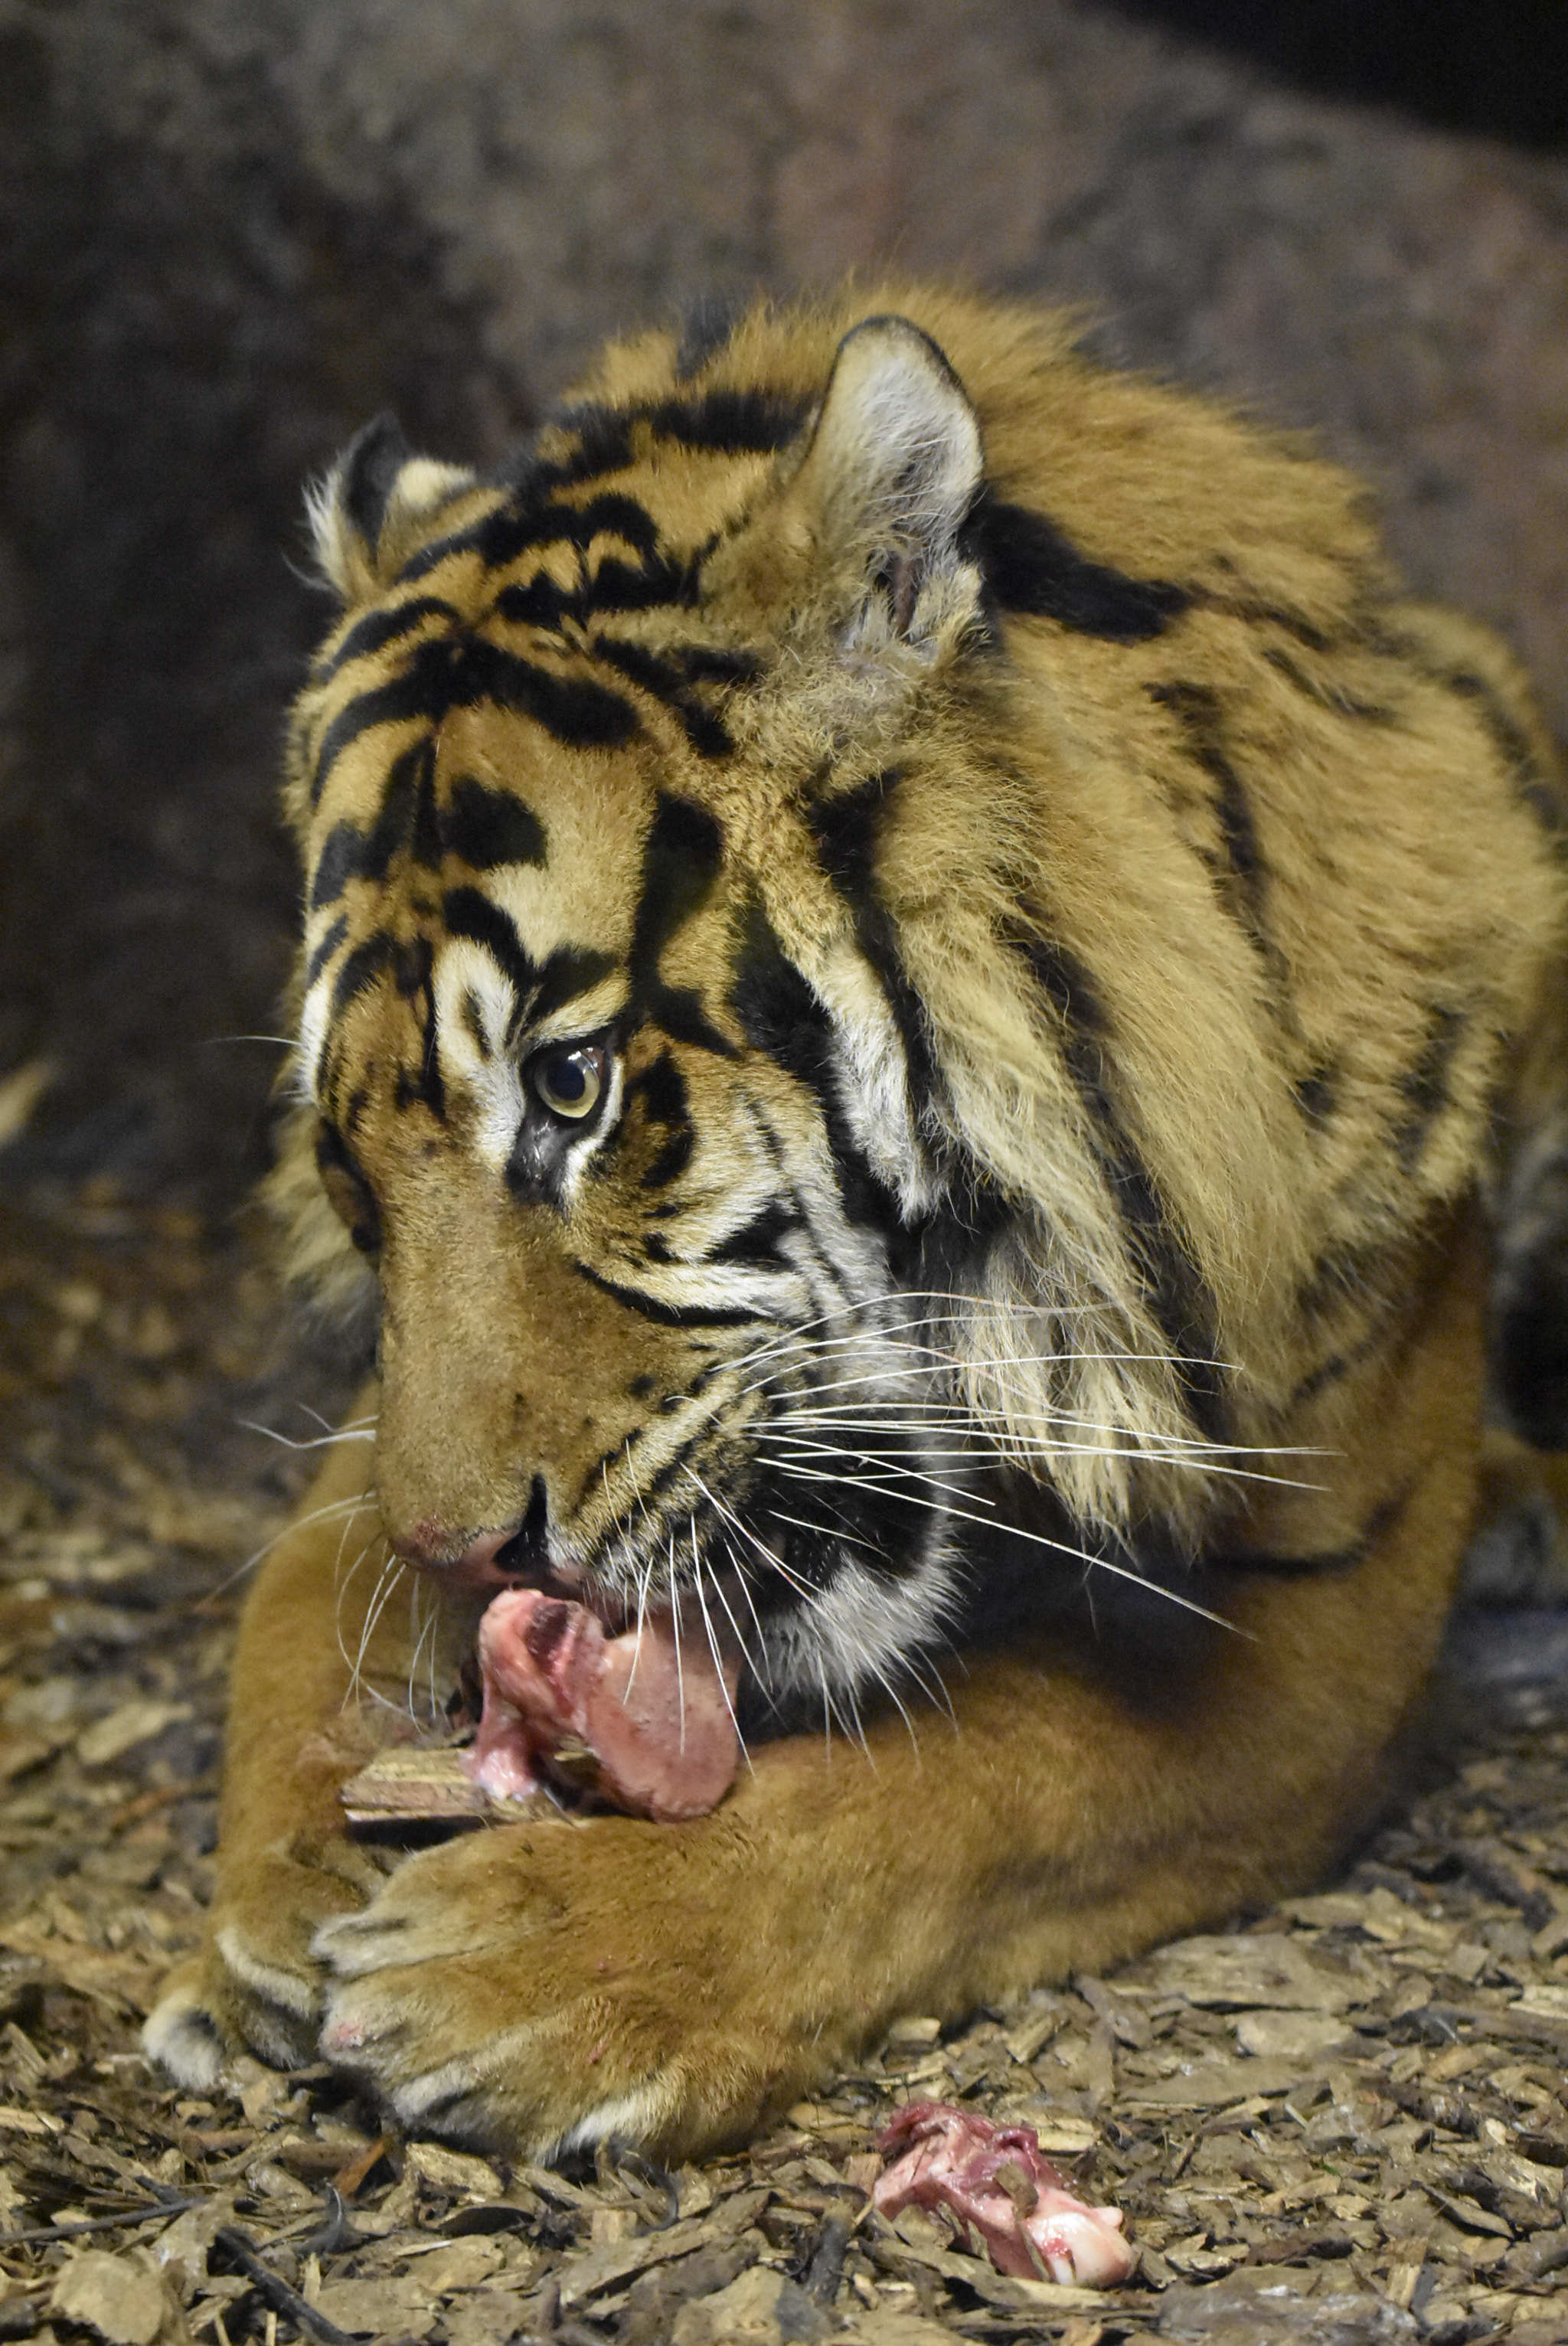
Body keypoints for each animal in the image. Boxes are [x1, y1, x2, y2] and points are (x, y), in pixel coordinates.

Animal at [140, 279, 1558, 2158]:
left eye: (571, 1086)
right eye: (349, 1161)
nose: (467, 1553)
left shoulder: (1312, 1615)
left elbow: (967, 1777)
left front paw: (541, 1959)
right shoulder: (378, 1445)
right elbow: (293, 1606)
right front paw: (272, 1917)